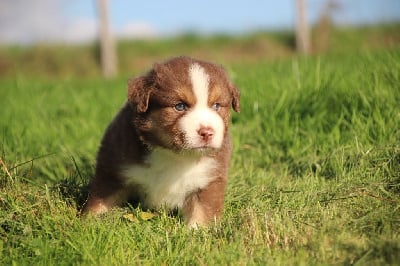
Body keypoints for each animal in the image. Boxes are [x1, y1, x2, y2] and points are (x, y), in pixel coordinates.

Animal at [79, 56, 239, 227]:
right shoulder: (113, 169)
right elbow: (100, 202)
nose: (207, 132)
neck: (174, 156)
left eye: (216, 106)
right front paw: (87, 223)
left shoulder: (209, 178)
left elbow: (201, 212)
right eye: (180, 106)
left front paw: (196, 231)